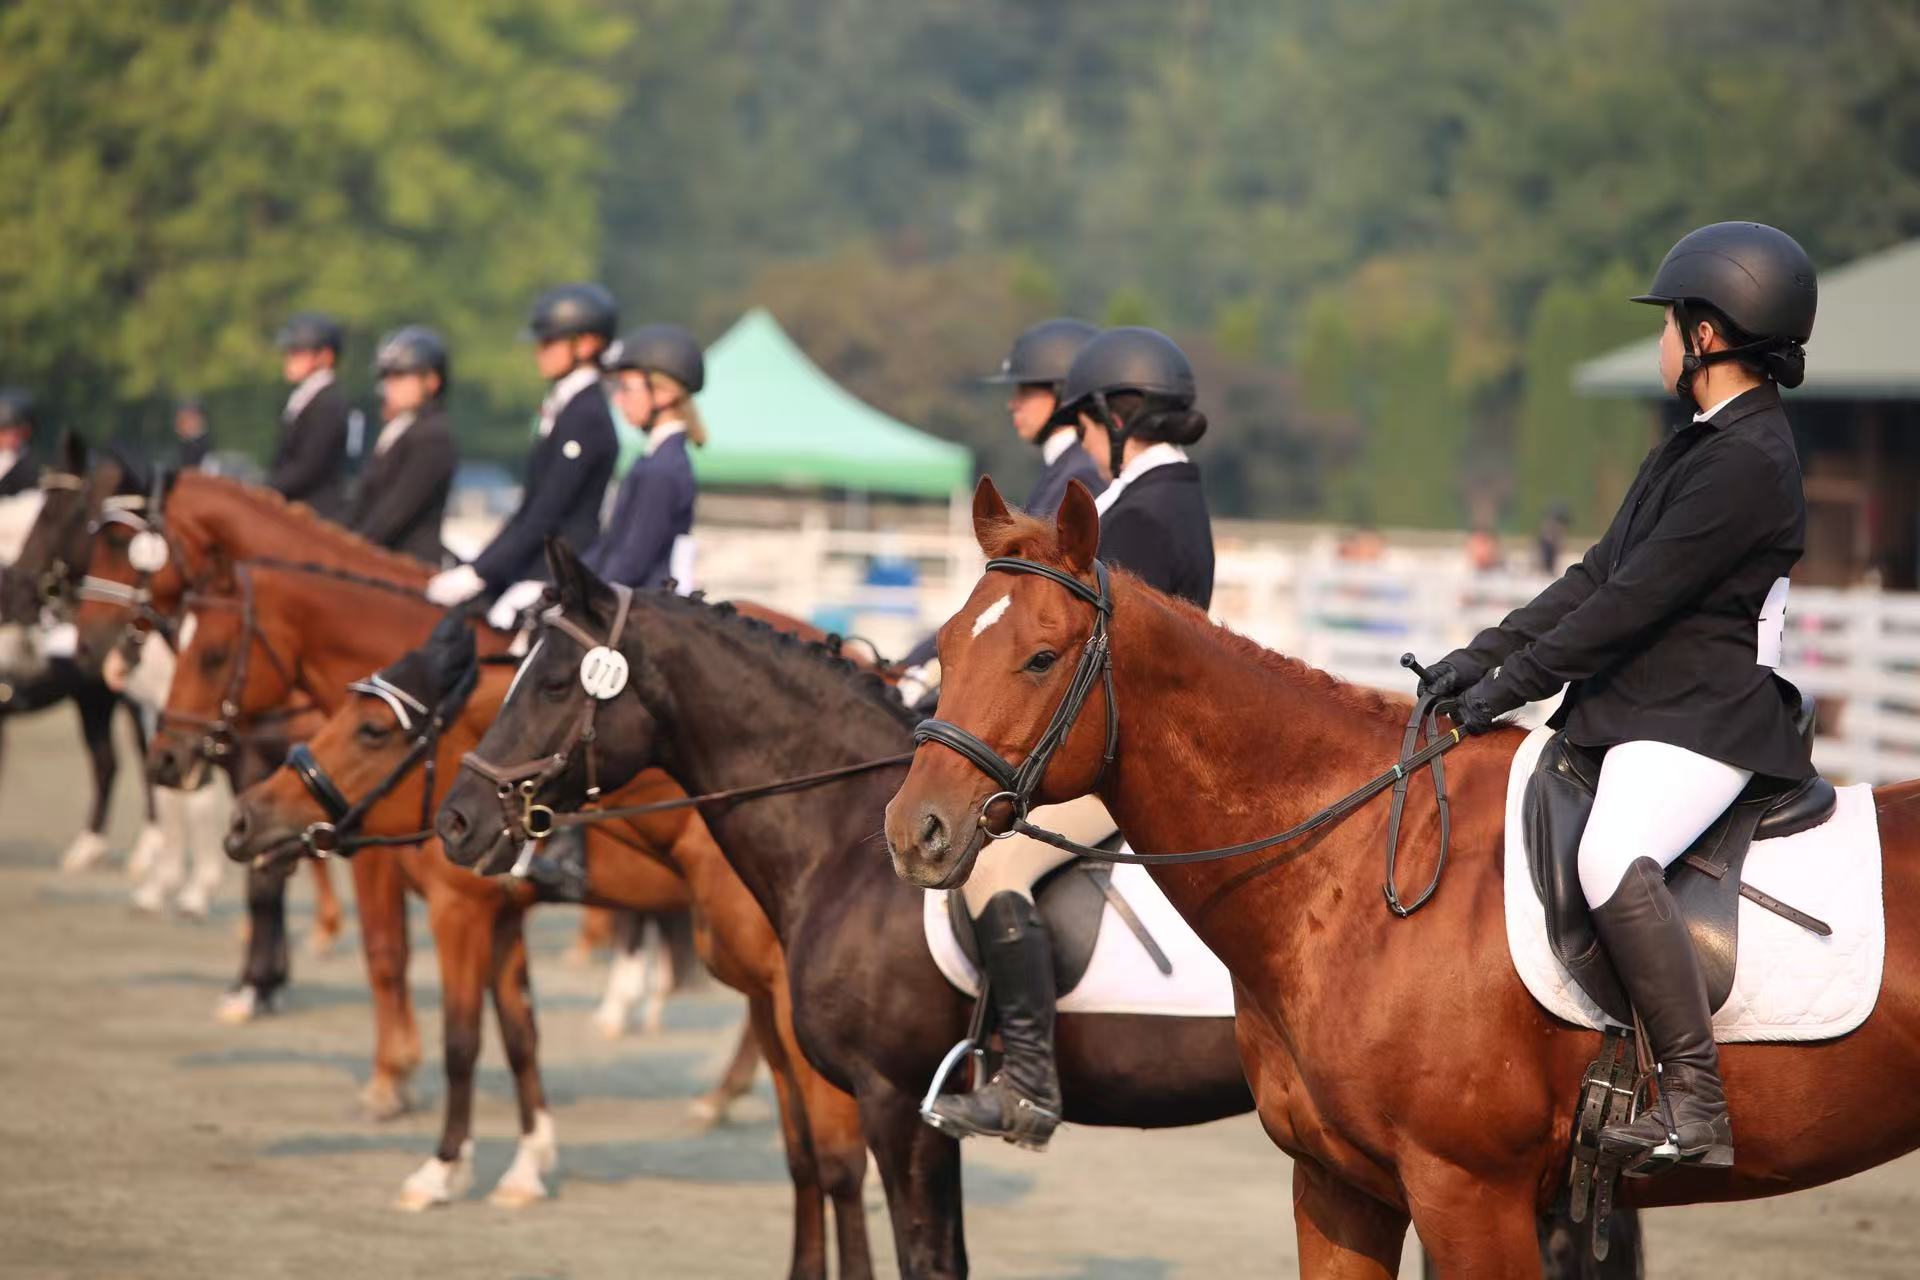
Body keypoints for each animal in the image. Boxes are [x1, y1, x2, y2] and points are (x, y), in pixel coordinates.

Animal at [227, 617, 876, 1276]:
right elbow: (520, 1036)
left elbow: (458, 1039)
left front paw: (439, 1167)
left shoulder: (457, 909)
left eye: (372, 729)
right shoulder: (502, 916)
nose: (244, 819)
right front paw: (526, 1166)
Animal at [882, 477, 1920, 1276]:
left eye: (1040, 657)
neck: (1347, 875)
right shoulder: (1340, 1188)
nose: (913, 830)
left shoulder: (1470, 1195)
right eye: (948, 645)